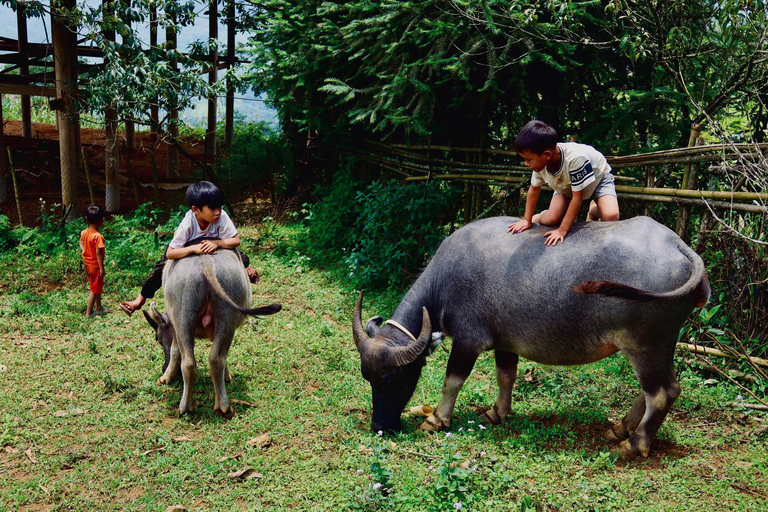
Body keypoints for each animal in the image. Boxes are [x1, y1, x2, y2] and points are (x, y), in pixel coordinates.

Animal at [142, 250, 280, 418]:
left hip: (185, 318)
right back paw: (222, 405)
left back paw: (188, 406)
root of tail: (206, 261)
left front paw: (166, 376)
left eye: (158, 339)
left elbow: (175, 351)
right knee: (215, 358)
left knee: (191, 362)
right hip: (226, 320)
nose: (163, 367)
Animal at [352, 218, 708, 458]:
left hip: (646, 343)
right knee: (653, 390)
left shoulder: (468, 339)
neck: (446, 281)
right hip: (656, 345)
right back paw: (621, 428)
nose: (380, 426)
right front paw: (497, 412)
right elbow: (505, 376)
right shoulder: (505, 342)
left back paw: (633, 444)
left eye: (394, 379)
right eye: (368, 379)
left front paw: (437, 419)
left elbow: (452, 380)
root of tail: (682, 249)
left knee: (662, 392)